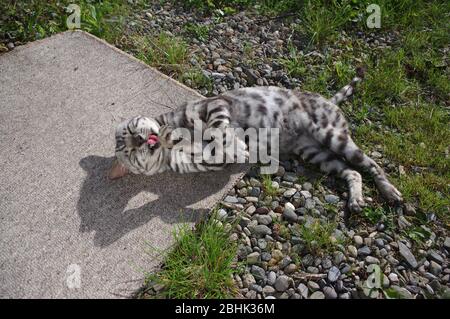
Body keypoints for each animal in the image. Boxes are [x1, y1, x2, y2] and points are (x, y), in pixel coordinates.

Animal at [110, 69, 402, 215]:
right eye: (131, 151)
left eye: (131, 130)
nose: (140, 139)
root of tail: (329, 100)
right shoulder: (208, 162)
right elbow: (213, 152)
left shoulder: (215, 105)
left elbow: (218, 129)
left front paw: (234, 142)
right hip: (317, 154)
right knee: (353, 171)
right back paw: (356, 199)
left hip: (330, 135)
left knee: (372, 164)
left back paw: (390, 192)